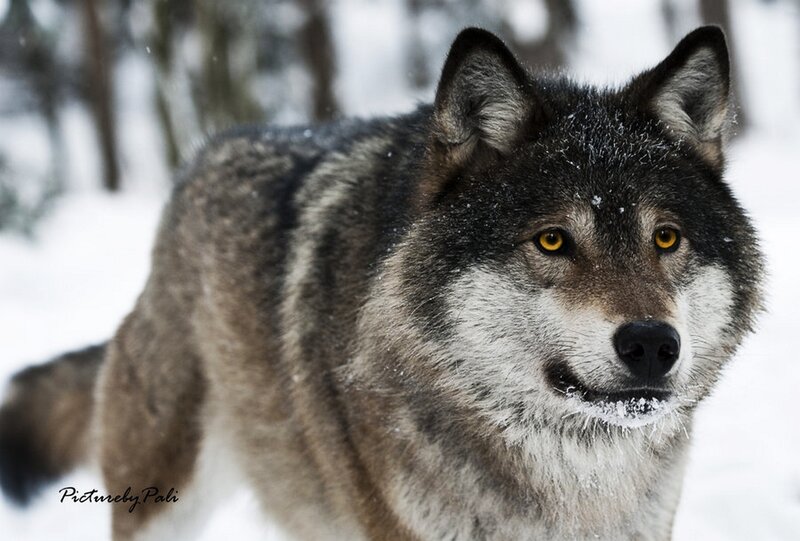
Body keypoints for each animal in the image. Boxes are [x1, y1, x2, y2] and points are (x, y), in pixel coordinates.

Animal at [0, 26, 763, 540]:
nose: (652, 344)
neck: (566, 475)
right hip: (166, 496)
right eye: (553, 240)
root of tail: (195, 168)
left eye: (665, 238)